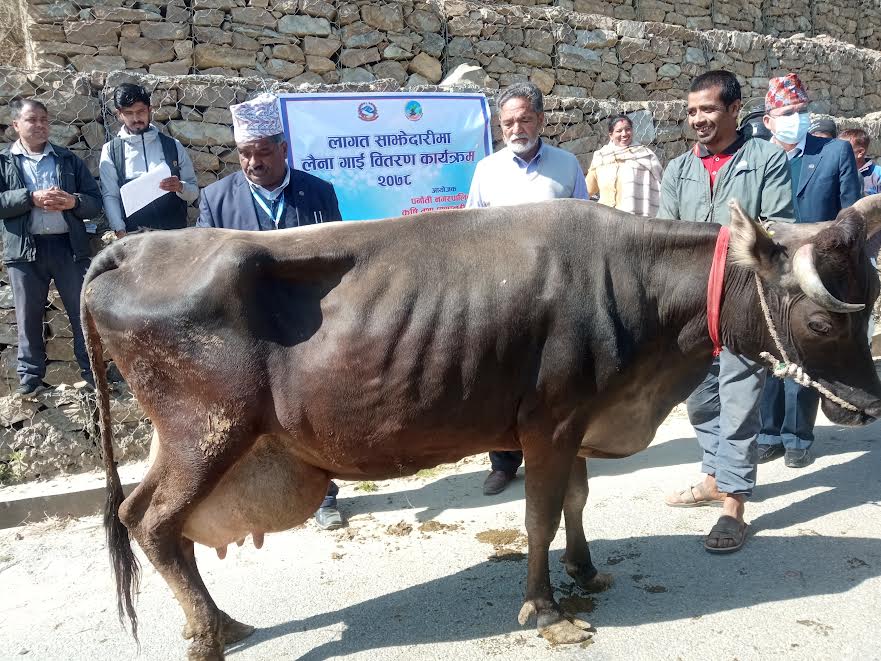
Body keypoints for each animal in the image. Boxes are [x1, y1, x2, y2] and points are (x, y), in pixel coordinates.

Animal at [82, 193, 880, 656]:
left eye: (867, 300)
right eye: (820, 320)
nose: (868, 406)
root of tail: (132, 246)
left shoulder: (576, 417)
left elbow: (575, 502)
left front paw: (585, 569)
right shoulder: (548, 422)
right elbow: (539, 516)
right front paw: (547, 609)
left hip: (197, 436)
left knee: (143, 515)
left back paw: (213, 623)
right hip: (208, 430)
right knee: (151, 520)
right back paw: (213, 632)